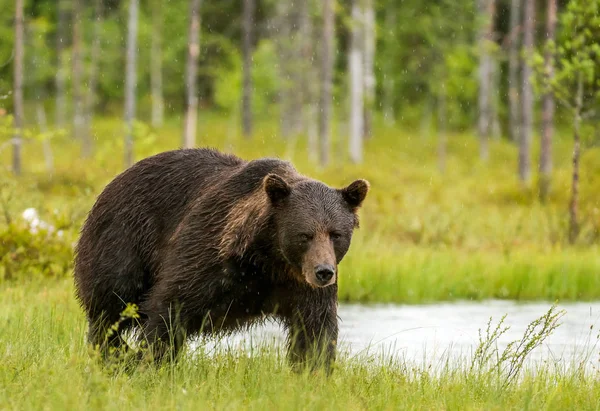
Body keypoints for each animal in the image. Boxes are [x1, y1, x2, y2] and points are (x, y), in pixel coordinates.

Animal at [73, 148, 368, 370]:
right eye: (305, 235)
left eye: (336, 234)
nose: (323, 271)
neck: (267, 258)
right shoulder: (209, 254)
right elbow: (170, 306)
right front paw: (148, 362)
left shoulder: (301, 285)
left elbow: (315, 330)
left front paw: (312, 373)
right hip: (122, 240)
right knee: (111, 306)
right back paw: (112, 354)